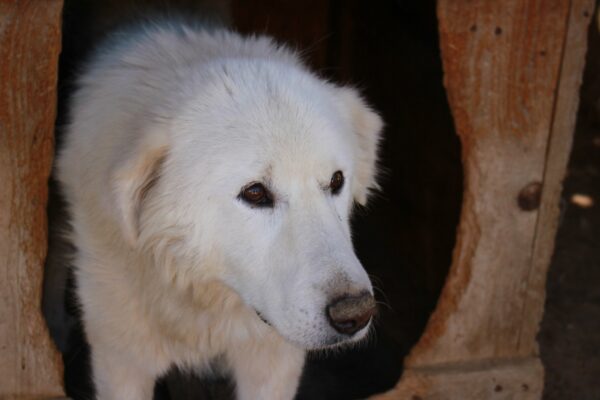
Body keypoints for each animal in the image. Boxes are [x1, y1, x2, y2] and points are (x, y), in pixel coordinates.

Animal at [57, 19, 384, 400]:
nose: (355, 313)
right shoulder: (121, 359)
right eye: (255, 193)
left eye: (336, 181)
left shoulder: (272, 364)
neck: (202, 297)